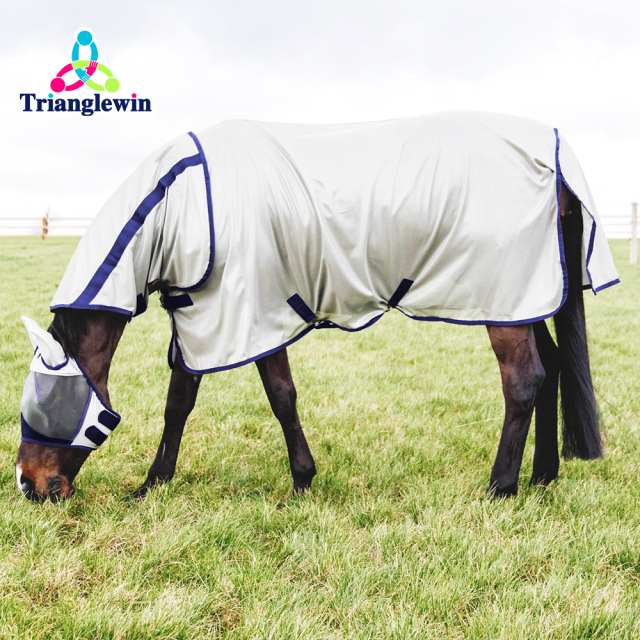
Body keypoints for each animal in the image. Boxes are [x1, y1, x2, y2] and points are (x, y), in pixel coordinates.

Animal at [14, 112, 619, 502]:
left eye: (45, 399)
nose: (27, 483)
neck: (183, 203)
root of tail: (553, 155)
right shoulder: (201, 320)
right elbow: (178, 403)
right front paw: (151, 485)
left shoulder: (252, 316)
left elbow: (280, 396)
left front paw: (302, 480)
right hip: (524, 298)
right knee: (552, 368)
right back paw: (542, 477)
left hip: (502, 304)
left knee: (524, 379)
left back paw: (501, 487)